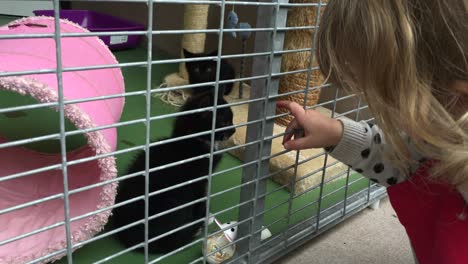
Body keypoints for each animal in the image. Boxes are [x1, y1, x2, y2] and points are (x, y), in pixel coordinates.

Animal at [113, 91, 236, 254]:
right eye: (225, 122)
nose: (234, 129)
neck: (190, 140)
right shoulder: (199, 179)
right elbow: (200, 196)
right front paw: (203, 214)